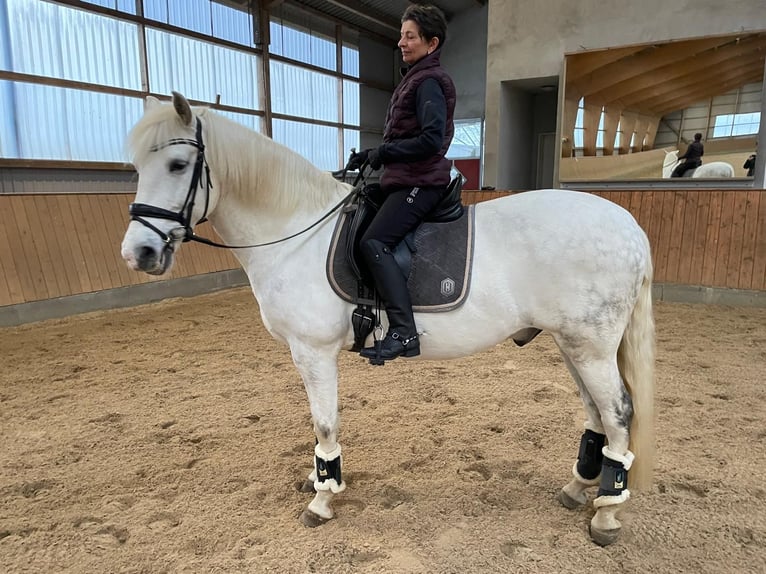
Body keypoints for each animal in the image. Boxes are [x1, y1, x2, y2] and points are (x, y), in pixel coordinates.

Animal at [123, 92, 656, 548]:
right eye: (137, 166)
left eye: (177, 165)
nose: (138, 253)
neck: (297, 231)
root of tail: (629, 226)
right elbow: (319, 423)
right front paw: (316, 478)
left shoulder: (313, 351)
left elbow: (325, 424)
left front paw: (323, 498)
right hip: (573, 345)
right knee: (597, 415)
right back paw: (578, 489)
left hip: (590, 347)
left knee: (618, 414)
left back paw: (607, 513)